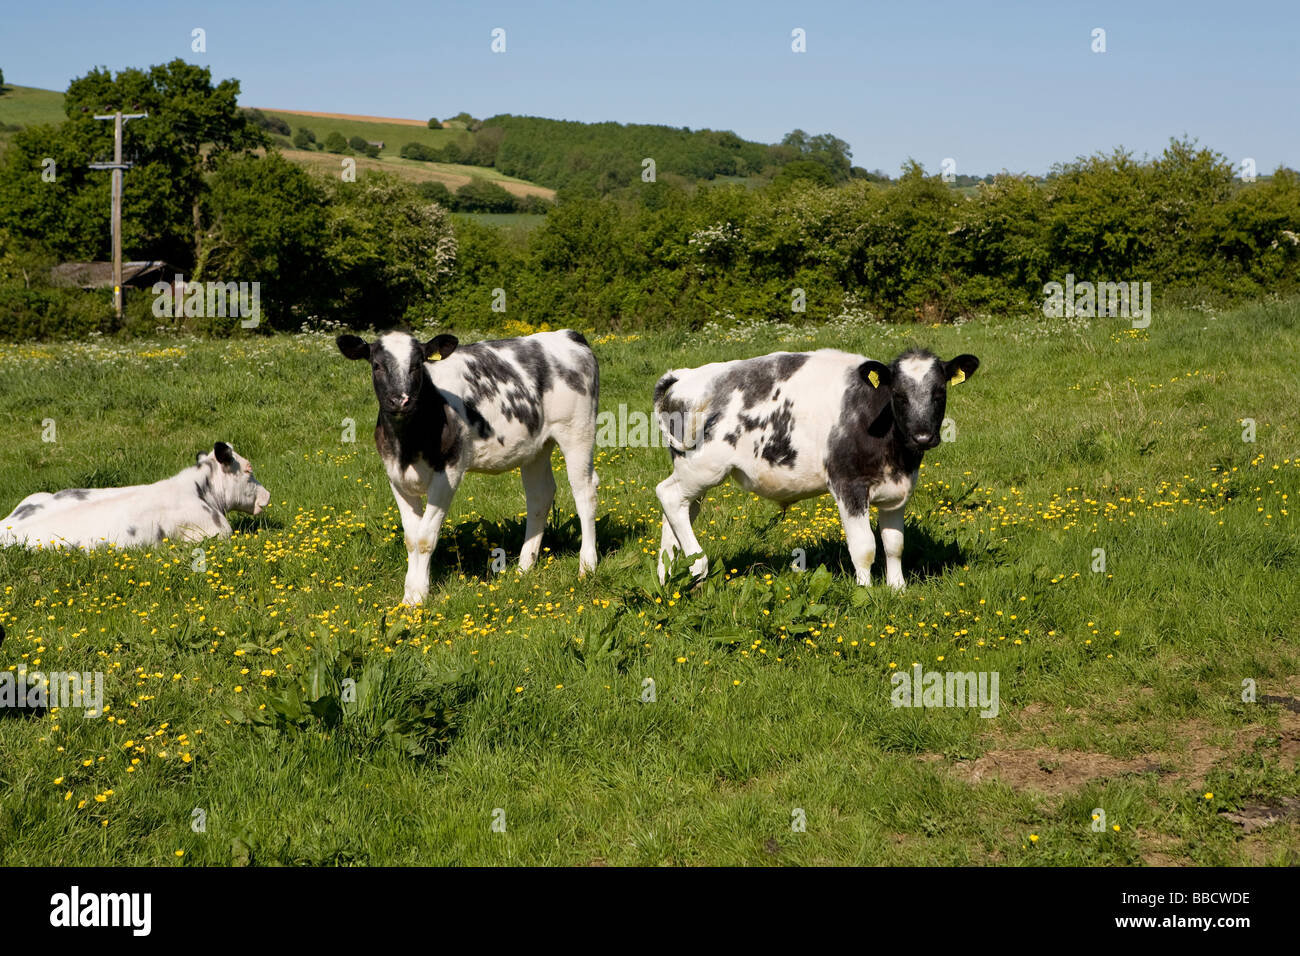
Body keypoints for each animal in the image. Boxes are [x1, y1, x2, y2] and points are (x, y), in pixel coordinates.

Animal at [336, 328, 599, 605]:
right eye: (376, 365)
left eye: (417, 364)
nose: (400, 400)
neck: (407, 445)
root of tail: (568, 335)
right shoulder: (396, 476)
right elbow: (411, 537)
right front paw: (409, 596)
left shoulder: (448, 473)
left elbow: (424, 537)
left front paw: (418, 595)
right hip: (536, 447)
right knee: (540, 495)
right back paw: (524, 568)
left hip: (577, 431)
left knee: (585, 491)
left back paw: (587, 566)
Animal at [653, 347, 979, 589]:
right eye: (898, 395)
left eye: (939, 393)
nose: (922, 436)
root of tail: (685, 376)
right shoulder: (848, 484)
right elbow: (864, 547)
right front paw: (866, 592)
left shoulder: (898, 490)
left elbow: (894, 544)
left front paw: (897, 589)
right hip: (702, 467)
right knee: (669, 496)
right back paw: (697, 566)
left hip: (693, 473)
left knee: (679, 511)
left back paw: (668, 579)